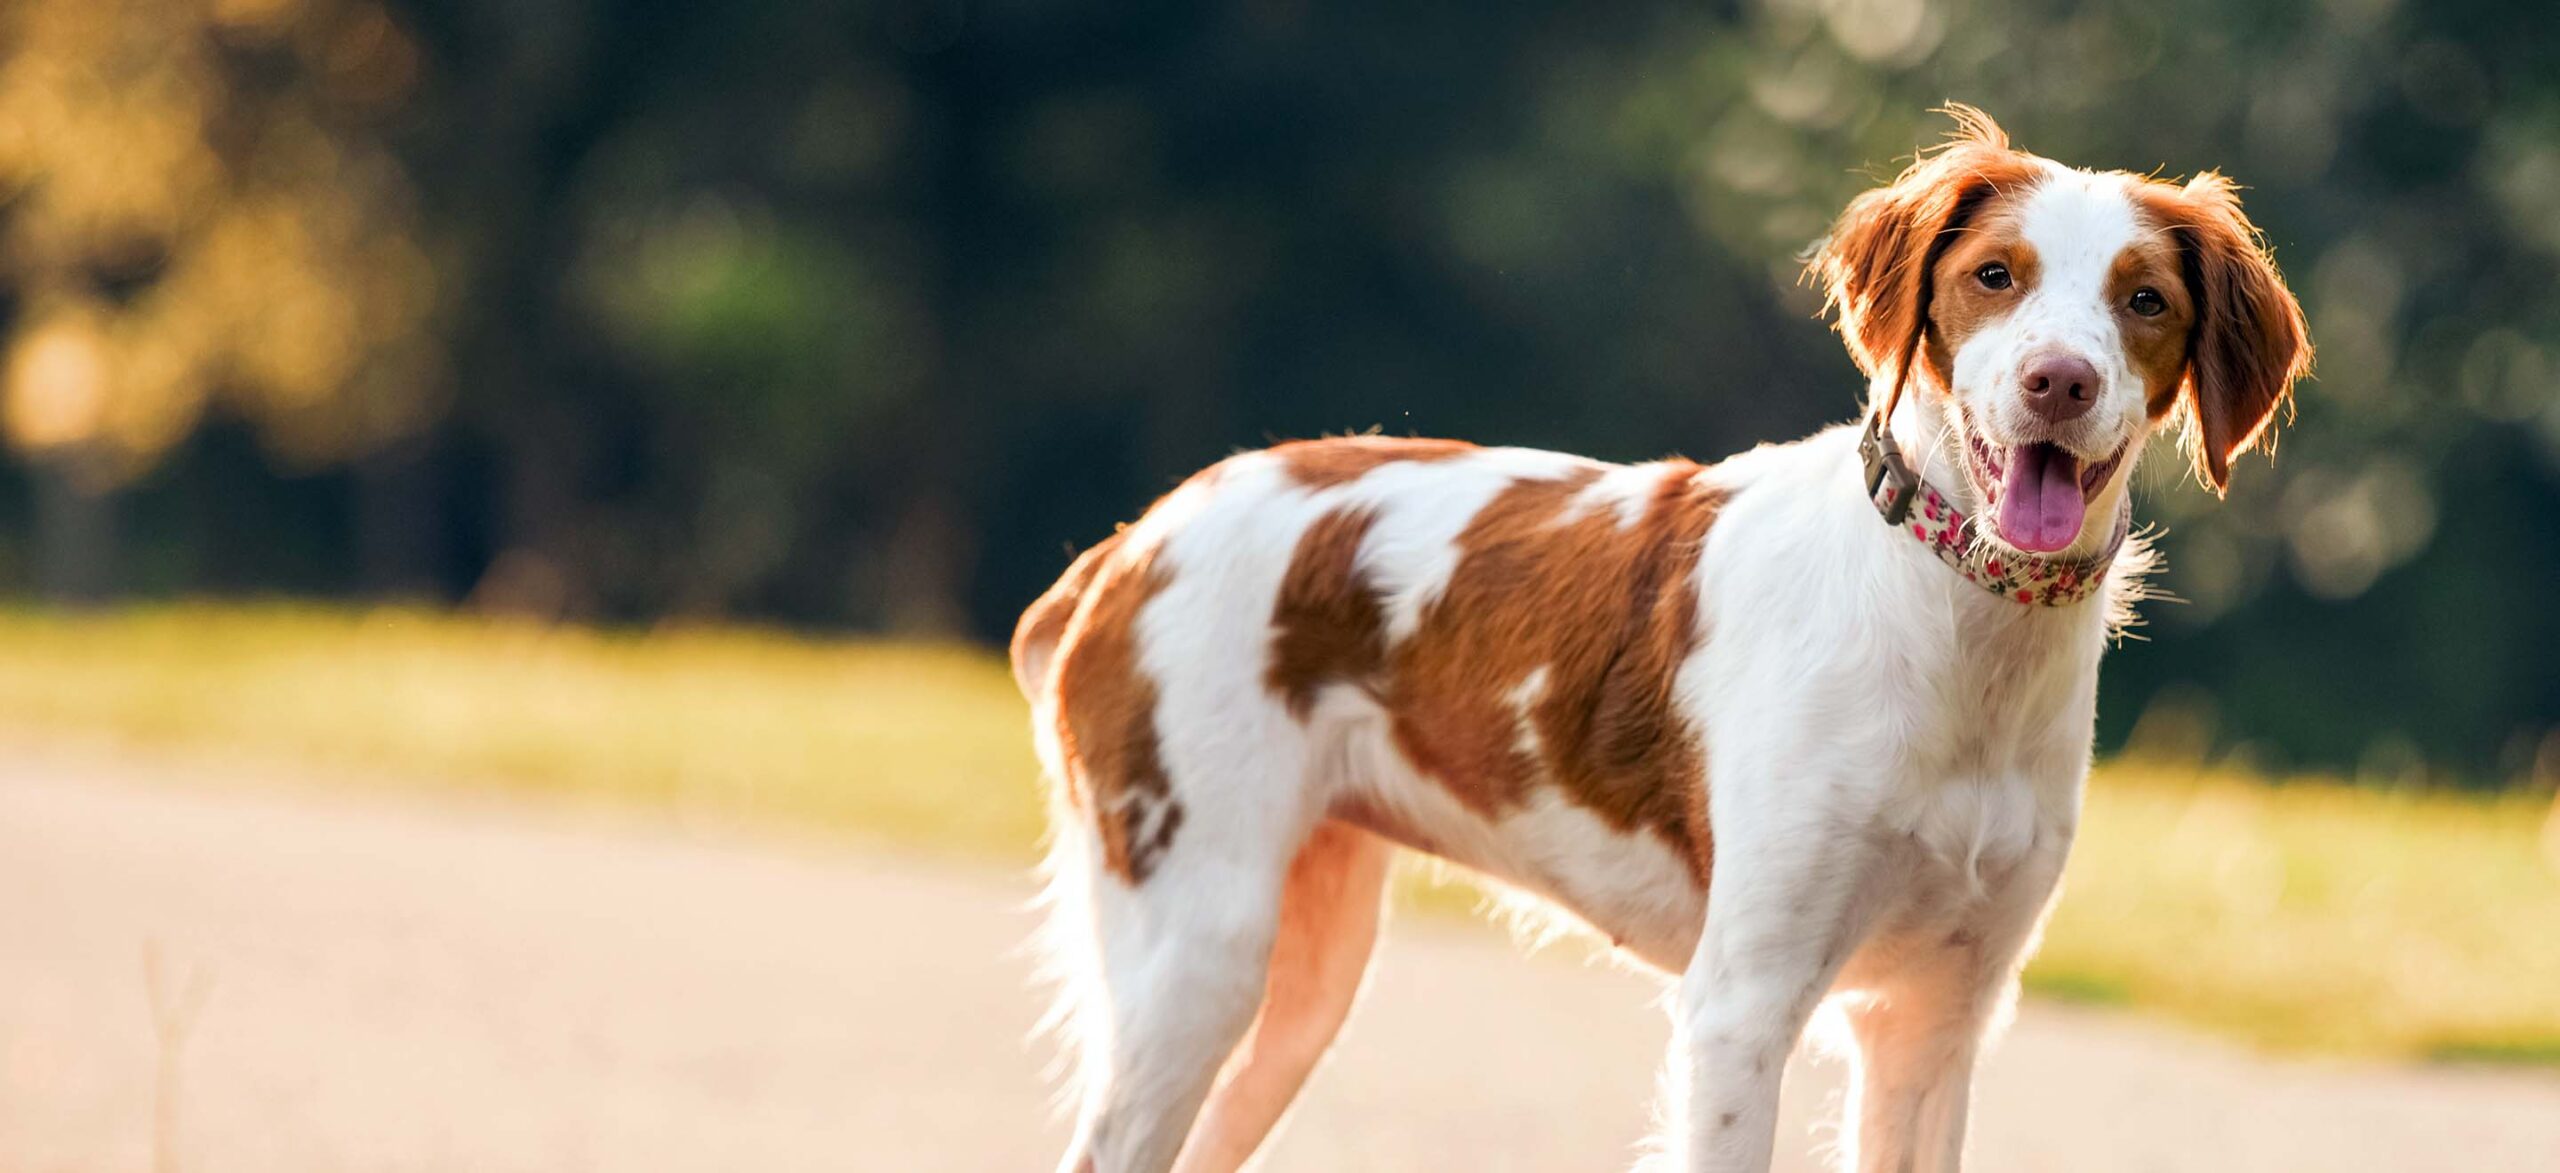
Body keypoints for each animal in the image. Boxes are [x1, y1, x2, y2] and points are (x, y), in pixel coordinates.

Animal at [1008, 110, 2314, 1173]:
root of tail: (1131, 542)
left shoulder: (1935, 1019)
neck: (1958, 634)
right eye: (1996, 275)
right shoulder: (1743, 1001)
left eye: (2144, 302)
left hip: (1301, 975)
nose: (2058, 382)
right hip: (1201, 942)